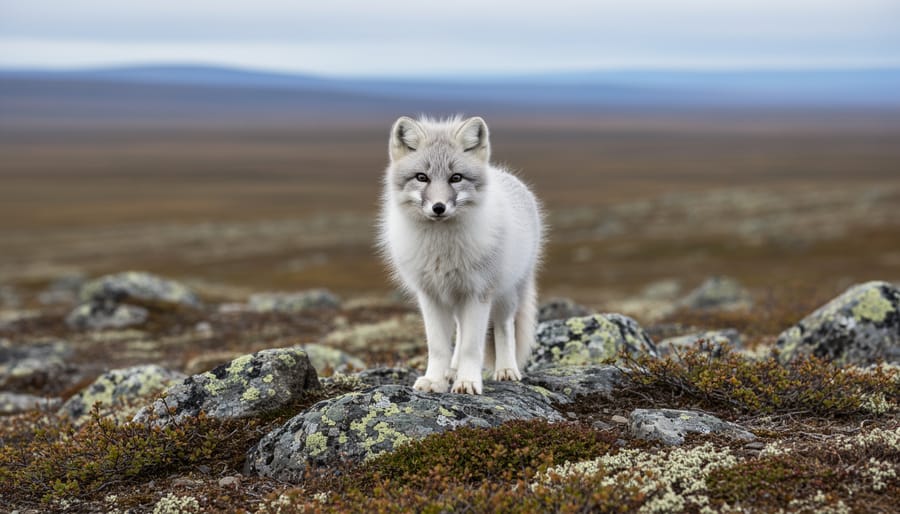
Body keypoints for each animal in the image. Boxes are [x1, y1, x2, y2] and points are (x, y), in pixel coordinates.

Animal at [378, 115, 544, 395]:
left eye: (456, 178)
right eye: (421, 177)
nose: (438, 207)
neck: (441, 248)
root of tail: (506, 175)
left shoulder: (478, 293)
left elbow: (471, 346)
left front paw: (467, 382)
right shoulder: (430, 295)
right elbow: (438, 346)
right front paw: (435, 380)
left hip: (506, 295)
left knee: (504, 328)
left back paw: (506, 370)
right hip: (456, 300)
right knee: (460, 329)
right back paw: (452, 370)